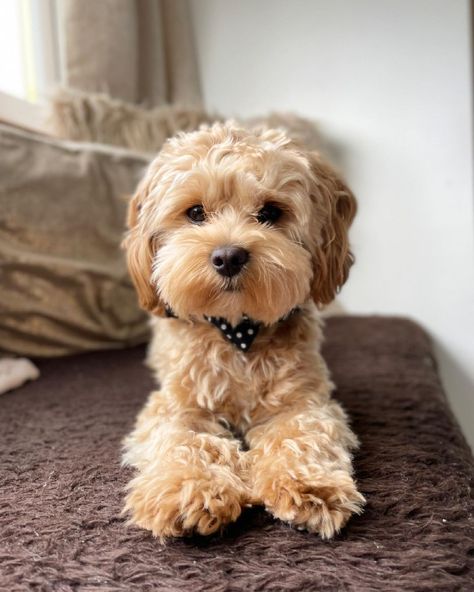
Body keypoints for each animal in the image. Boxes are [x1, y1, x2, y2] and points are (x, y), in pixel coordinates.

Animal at [120, 120, 364, 540]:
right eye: (195, 212)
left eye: (269, 212)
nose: (228, 256)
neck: (237, 331)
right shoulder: (176, 406)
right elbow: (185, 440)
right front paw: (190, 490)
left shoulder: (302, 402)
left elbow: (302, 435)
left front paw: (310, 485)